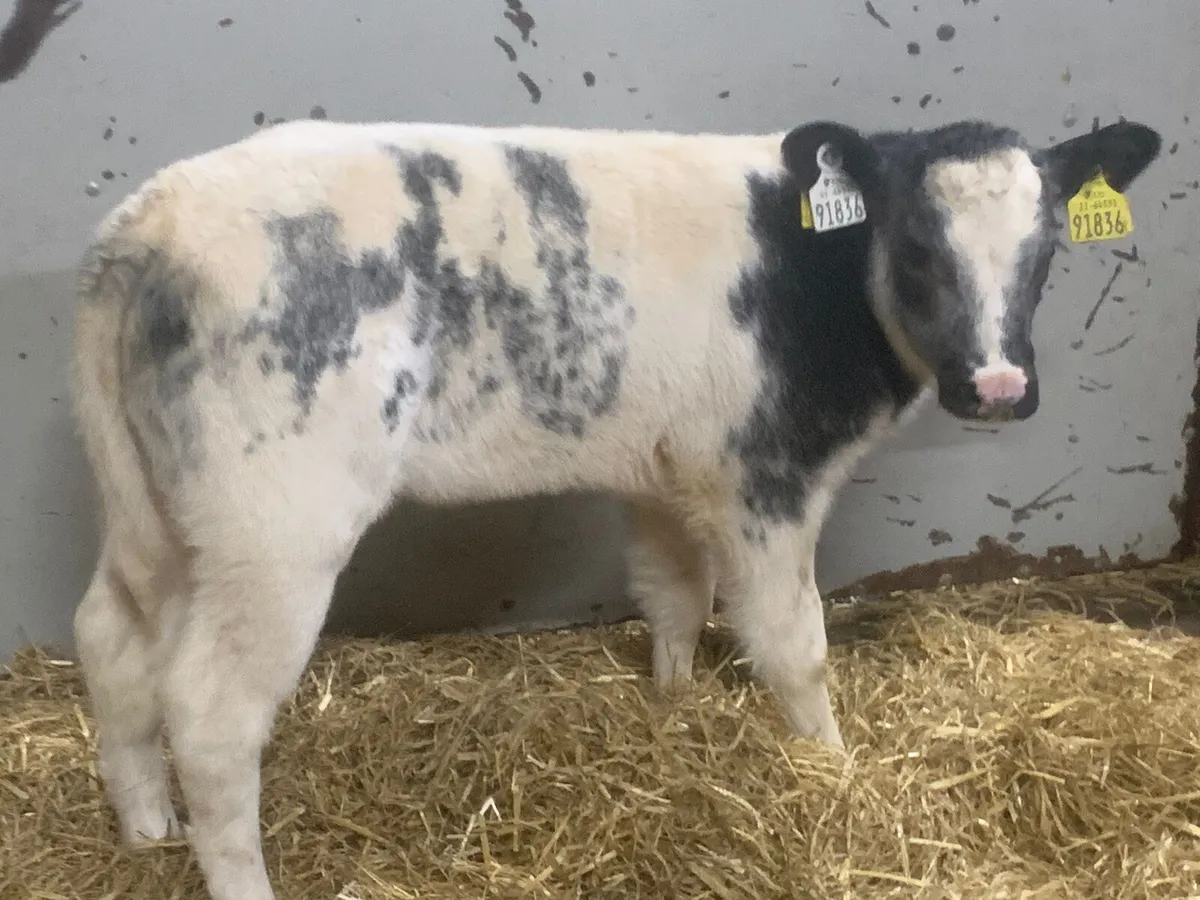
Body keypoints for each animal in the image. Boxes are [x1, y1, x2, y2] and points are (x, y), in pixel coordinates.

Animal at [68, 116, 1161, 900]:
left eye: (1047, 249)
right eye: (921, 247)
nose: (999, 387)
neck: (821, 277)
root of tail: (149, 222)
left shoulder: (666, 470)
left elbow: (674, 594)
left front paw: (673, 707)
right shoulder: (769, 477)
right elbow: (793, 642)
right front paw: (833, 769)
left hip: (159, 511)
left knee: (112, 637)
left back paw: (142, 826)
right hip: (276, 524)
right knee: (211, 712)